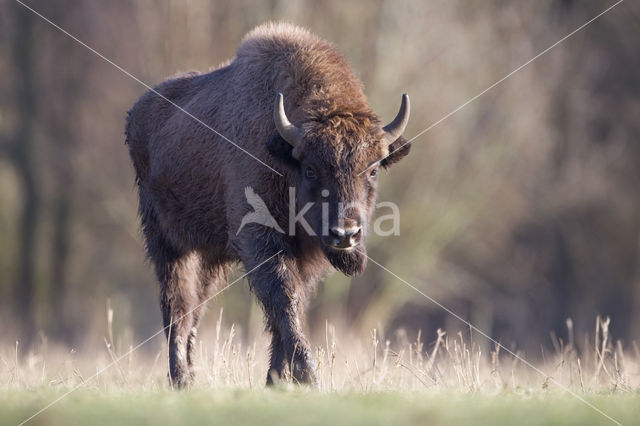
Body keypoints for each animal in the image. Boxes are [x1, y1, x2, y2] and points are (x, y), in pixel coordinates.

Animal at [126, 24, 410, 390]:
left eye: (373, 169)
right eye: (310, 169)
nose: (345, 235)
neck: (282, 154)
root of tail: (136, 113)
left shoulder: (306, 257)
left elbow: (291, 305)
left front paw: (277, 379)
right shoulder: (261, 242)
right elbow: (282, 298)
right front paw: (307, 377)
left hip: (208, 257)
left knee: (195, 309)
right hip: (169, 244)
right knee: (177, 306)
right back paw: (181, 380)